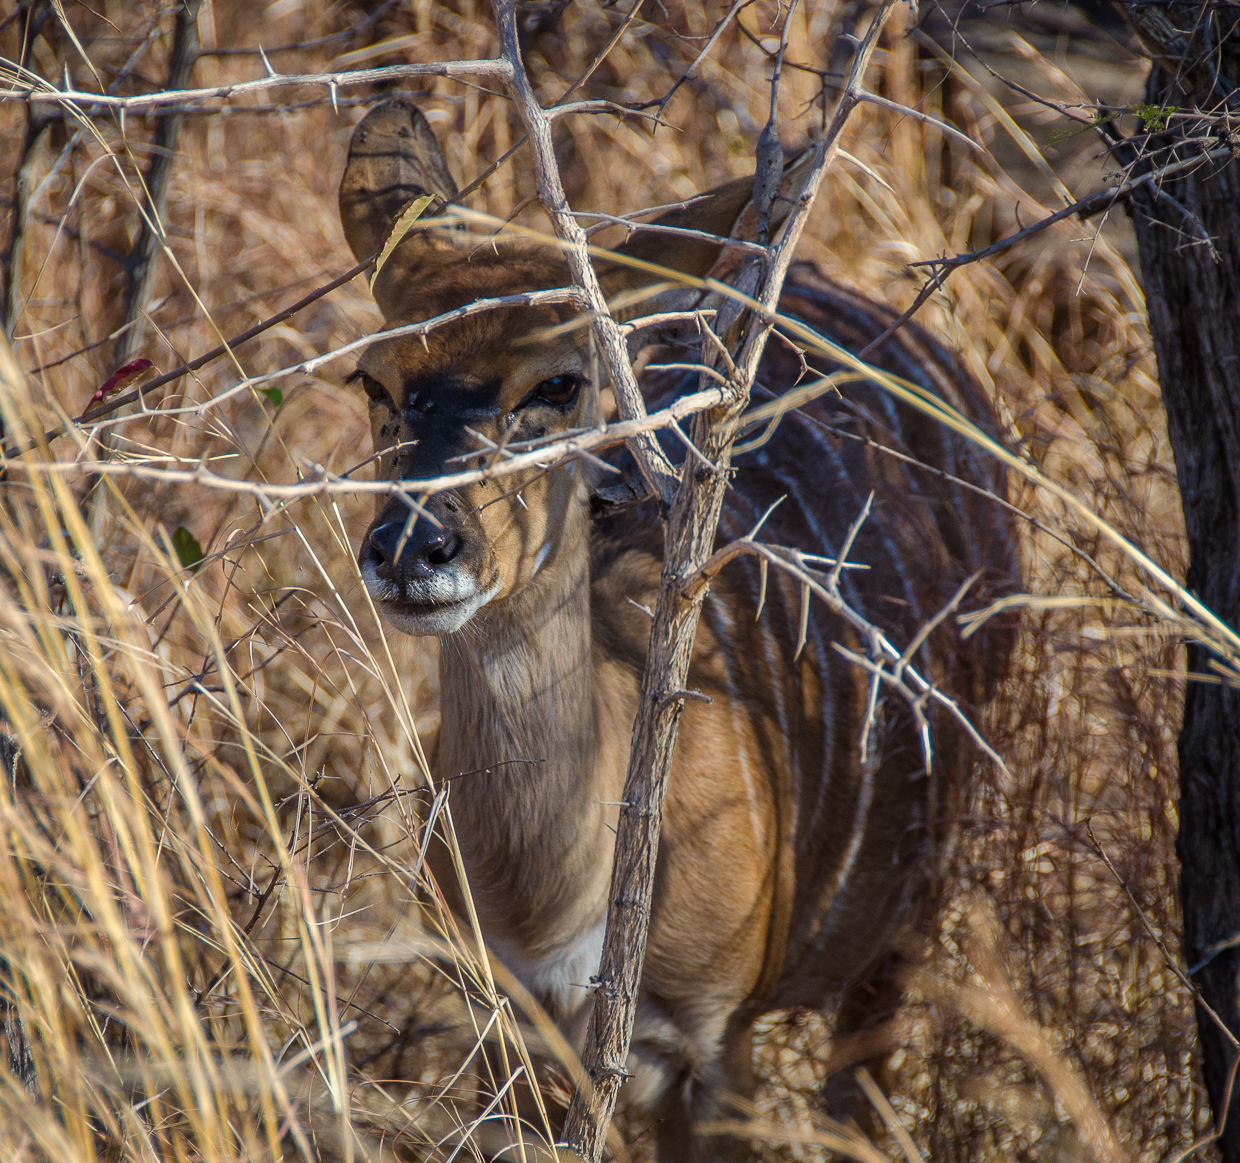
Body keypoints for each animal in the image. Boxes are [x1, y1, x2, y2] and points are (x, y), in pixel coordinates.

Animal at [336, 97, 1018, 1160]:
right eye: (373, 379)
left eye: (558, 382)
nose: (415, 546)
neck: (555, 912)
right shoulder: (503, 1034)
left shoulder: (716, 1032)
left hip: (917, 900)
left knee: (862, 1085)